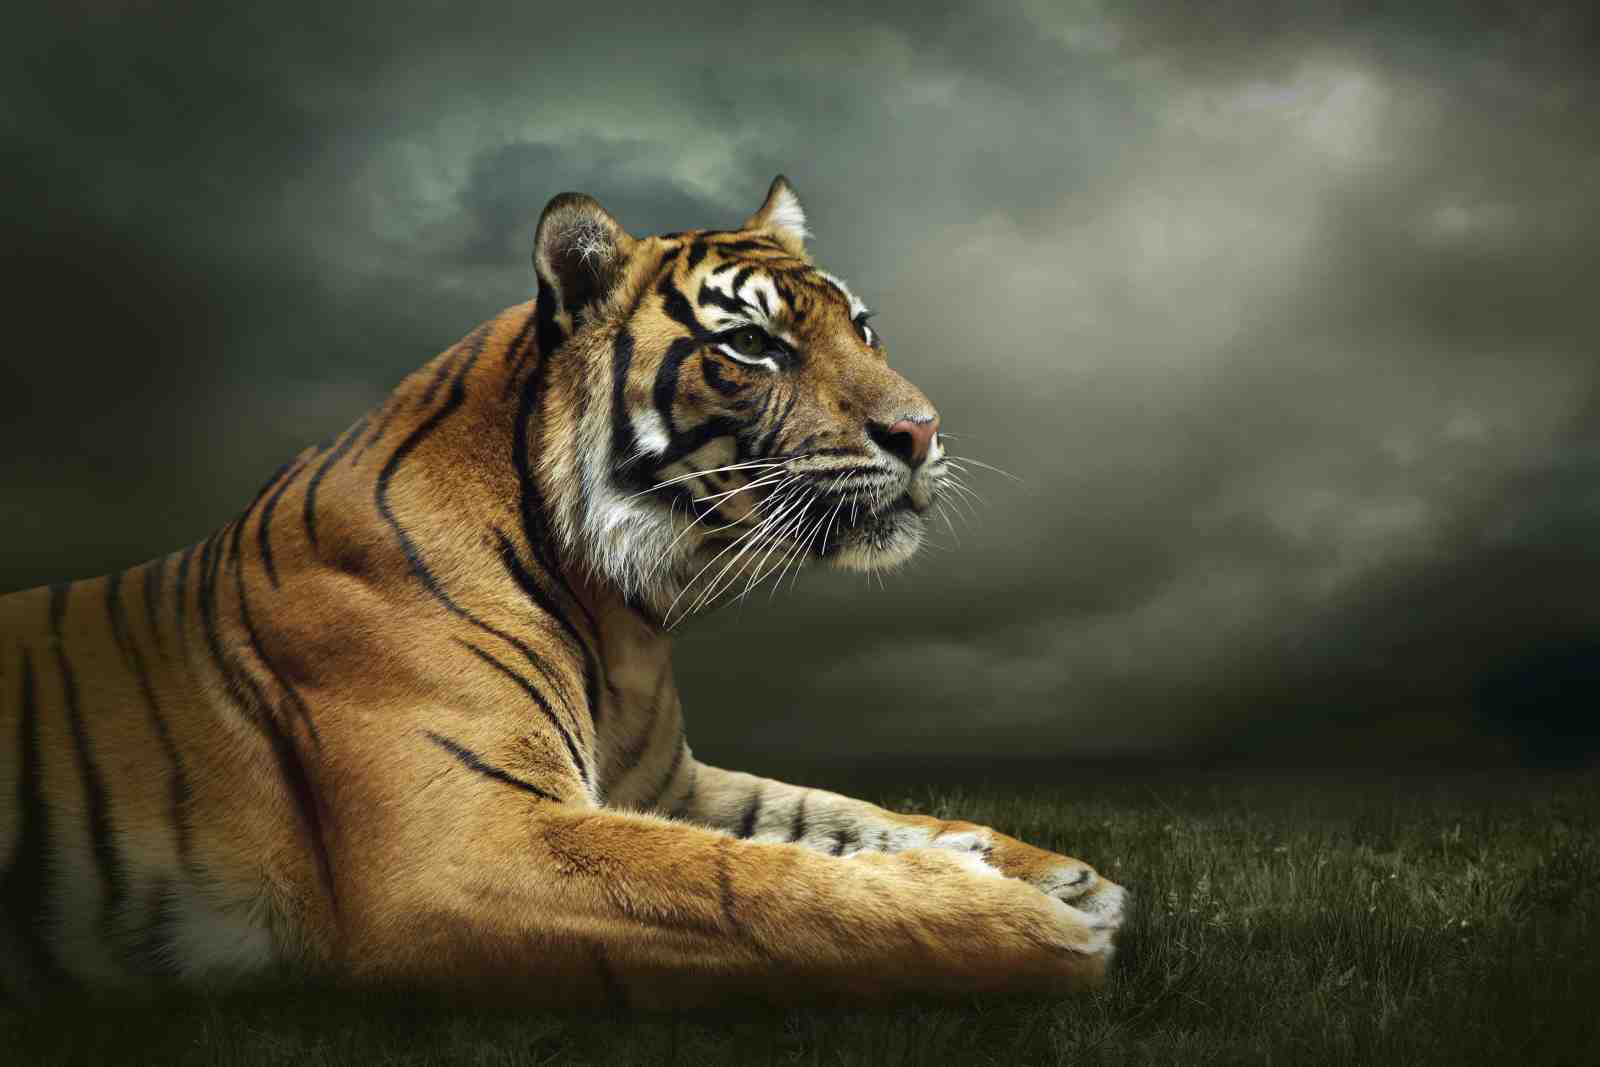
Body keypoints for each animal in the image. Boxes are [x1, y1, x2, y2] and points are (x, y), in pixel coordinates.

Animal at [0, 176, 1124, 1007]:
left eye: (864, 328)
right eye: (751, 345)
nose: (922, 432)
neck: (618, 610)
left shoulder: (665, 784)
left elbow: (837, 816)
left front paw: (1052, 871)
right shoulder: (466, 843)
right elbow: (759, 888)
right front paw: (1033, 922)